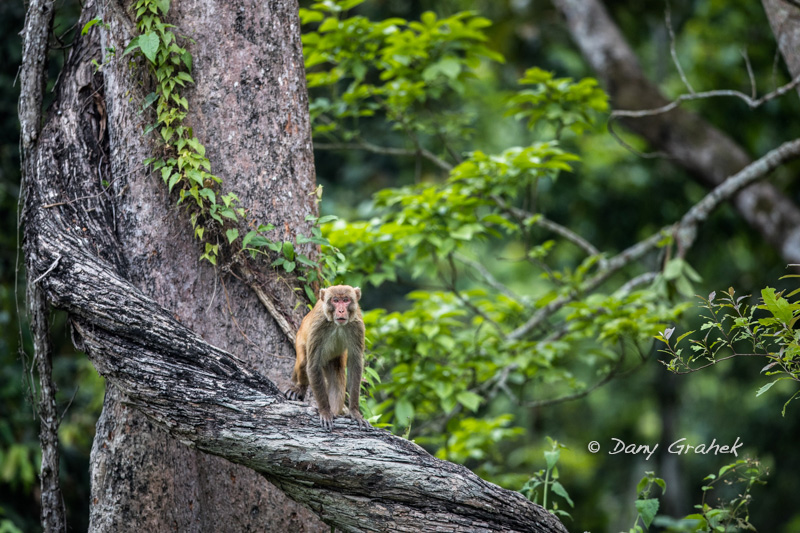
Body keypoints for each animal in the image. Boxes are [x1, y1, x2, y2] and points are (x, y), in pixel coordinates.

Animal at [284, 284, 368, 430]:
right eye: (335, 300)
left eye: (346, 300)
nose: (341, 310)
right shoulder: (319, 325)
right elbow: (312, 365)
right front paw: (325, 411)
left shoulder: (357, 325)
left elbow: (355, 365)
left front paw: (354, 411)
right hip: (299, 339)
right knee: (304, 362)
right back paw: (300, 388)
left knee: (337, 374)